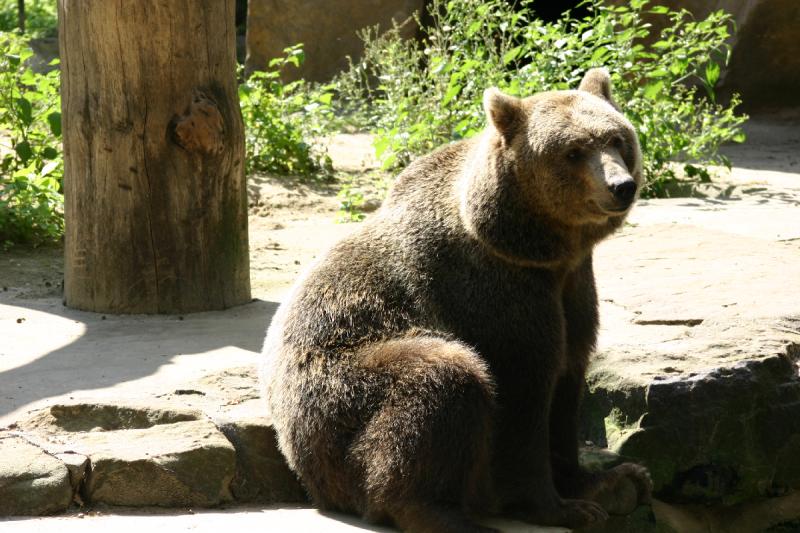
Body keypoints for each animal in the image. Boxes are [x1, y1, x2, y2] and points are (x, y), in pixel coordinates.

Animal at [262, 68, 648, 528]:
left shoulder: (573, 288)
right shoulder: (496, 292)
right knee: (442, 378)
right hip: (338, 397)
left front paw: (605, 480)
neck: (541, 249)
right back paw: (444, 512)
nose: (621, 186)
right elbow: (523, 392)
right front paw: (560, 506)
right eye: (573, 151)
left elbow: (568, 380)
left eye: (617, 139)